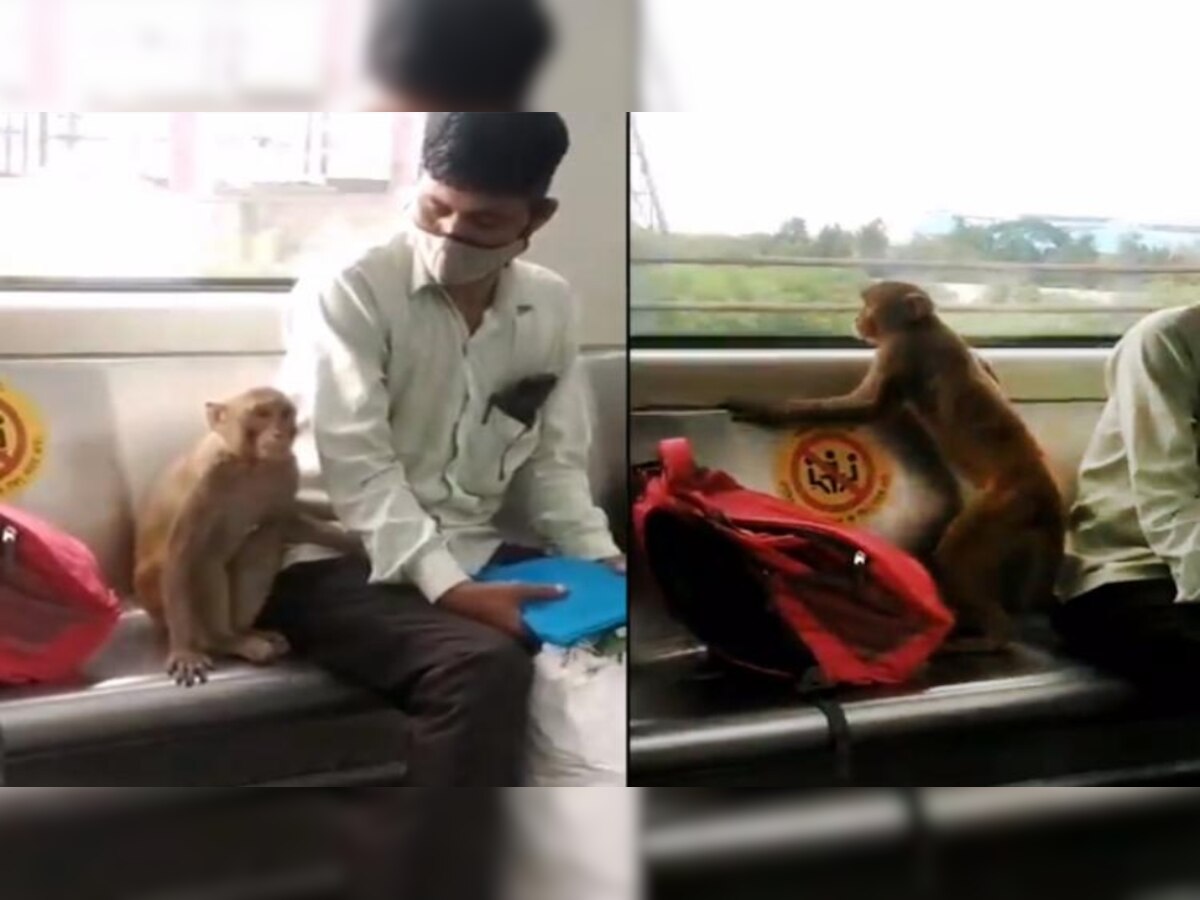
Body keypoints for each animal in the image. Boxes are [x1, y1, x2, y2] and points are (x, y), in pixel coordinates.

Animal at [135, 384, 360, 686]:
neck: (249, 463)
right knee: (205, 558)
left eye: (284, 414)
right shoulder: (202, 484)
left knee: (266, 535)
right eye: (262, 414)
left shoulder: (285, 470)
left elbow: (286, 521)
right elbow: (180, 555)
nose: (278, 433)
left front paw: (361, 546)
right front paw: (184, 651)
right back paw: (222, 640)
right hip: (157, 605)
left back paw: (246, 633)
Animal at [724, 282, 1065, 657]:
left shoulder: (900, 352)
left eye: (868, 303)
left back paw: (992, 636)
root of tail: (1045, 485)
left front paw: (770, 409)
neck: (925, 324)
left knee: (954, 555)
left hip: (1008, 505)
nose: (857, 318)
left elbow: (868, 408)